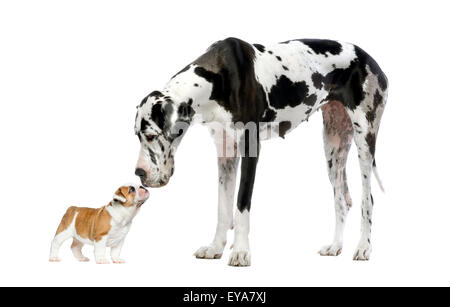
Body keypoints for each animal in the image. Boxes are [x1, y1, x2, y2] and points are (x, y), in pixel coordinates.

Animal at [133, 37, 386, 266]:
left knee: (368, 199)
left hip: (364, 141)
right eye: (137, 136)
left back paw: (363, 247)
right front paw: (216, 247)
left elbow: (241, 205)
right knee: (341, 200)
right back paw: (335, 246)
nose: (139, 173)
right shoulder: (225, 153)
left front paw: (240, 252)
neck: (217, 78)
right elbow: (223, 207)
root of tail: (371, 60)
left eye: (151, 136)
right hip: (333, 145)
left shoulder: (250, 149)